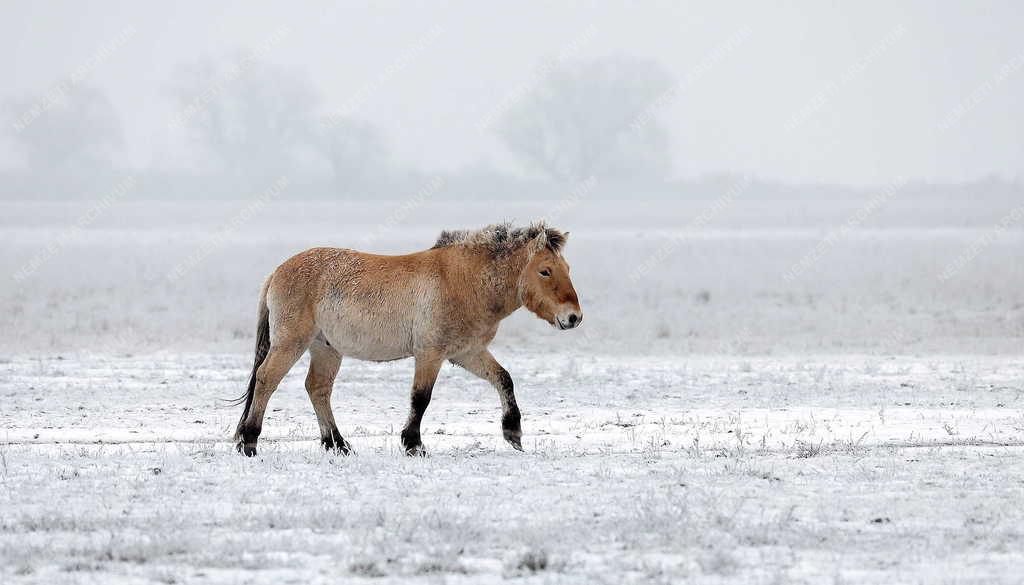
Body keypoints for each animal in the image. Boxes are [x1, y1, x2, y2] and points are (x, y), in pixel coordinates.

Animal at [234, 222, 585, 454]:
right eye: (545, 271)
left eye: (568, 268)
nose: (573, 318)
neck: (463, 280)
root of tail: (277, 272)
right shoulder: (430, 353)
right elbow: (421, 397)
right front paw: (413, 444)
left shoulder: (467, 352)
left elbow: (504, 379)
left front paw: (513, 433)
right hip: (291, 342)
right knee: (266, 379)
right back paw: (249, 441)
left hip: (326, 349)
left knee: (317, 388)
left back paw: (337, 444)